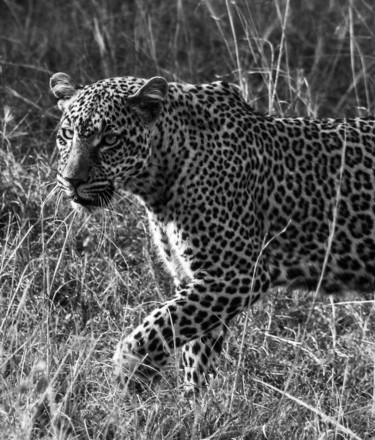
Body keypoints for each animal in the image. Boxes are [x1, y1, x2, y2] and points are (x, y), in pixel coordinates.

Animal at [48, 72, 375, 392]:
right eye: (67, 135)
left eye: (110, 140)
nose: (71, 180)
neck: (158, 180)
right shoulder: (193, 278)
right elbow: (193, 346)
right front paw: (193, 403)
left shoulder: (237, 274)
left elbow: (158, 326)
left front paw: (129, 372)